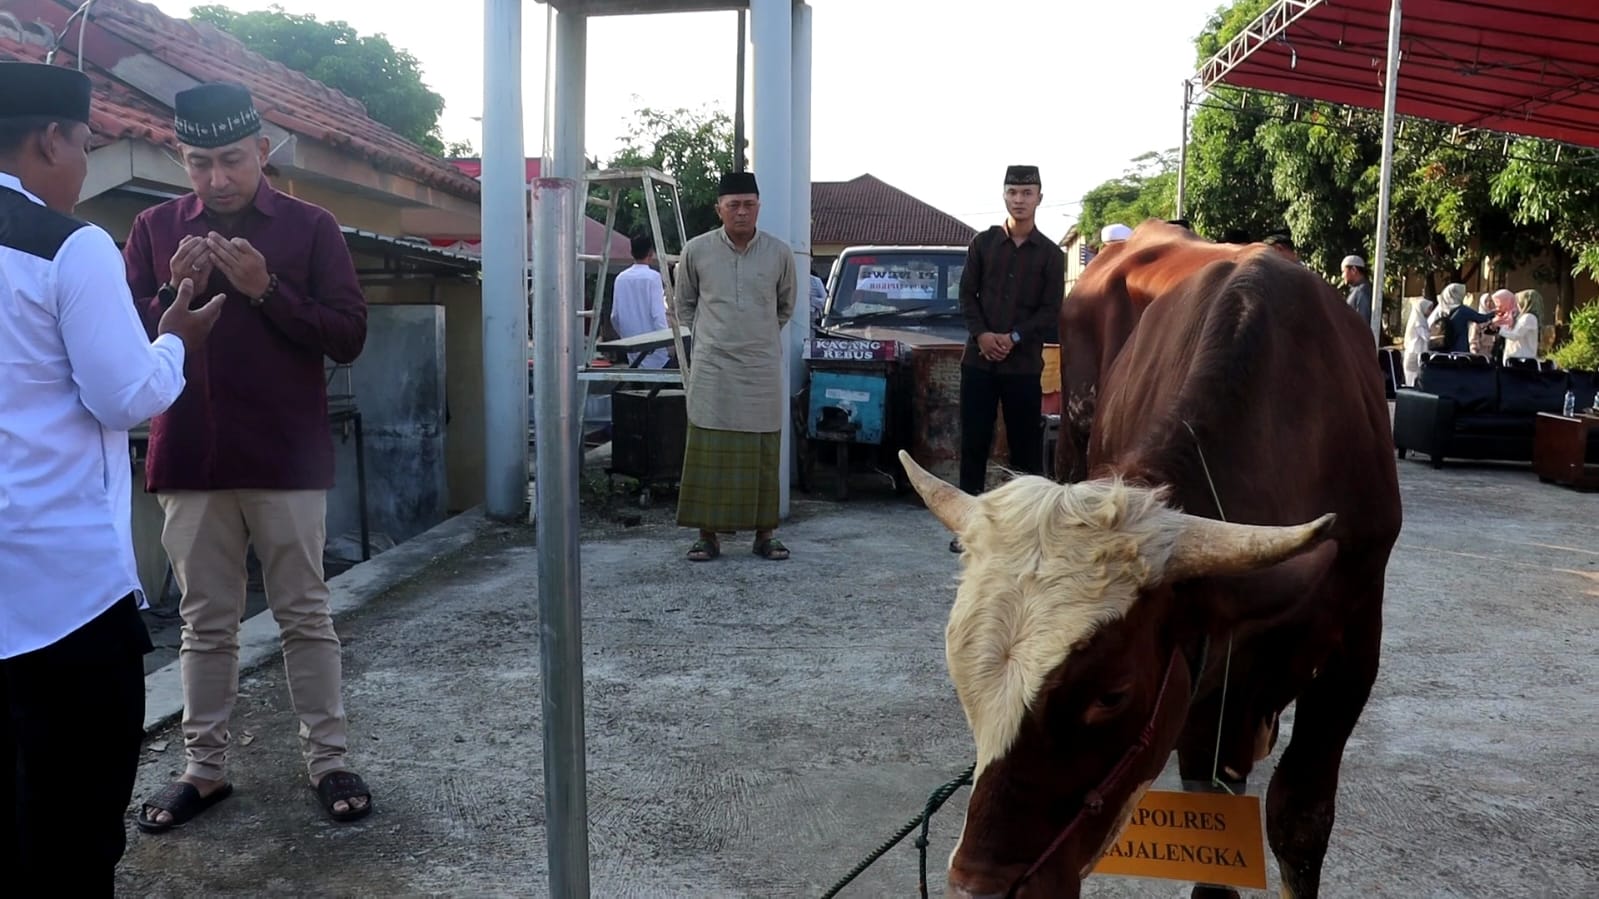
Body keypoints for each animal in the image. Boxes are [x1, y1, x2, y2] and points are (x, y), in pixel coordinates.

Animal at [900, 222, 1402, 899]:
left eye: (1112, 694)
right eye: (959, 673)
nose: (979, 887)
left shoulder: (1353, 647)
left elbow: (1299, 818)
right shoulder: (1208, 680)